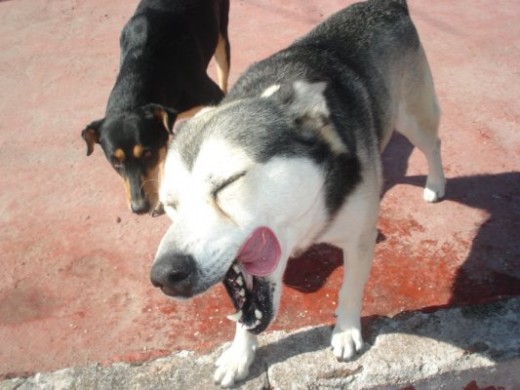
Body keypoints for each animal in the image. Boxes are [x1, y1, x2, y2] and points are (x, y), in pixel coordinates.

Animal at [80, 0, 230, 215]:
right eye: (115, 162)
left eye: (147, 153)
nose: (139, 208)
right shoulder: (161, 132)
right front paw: (160, 202)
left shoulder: (211, 95)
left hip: (221, 36)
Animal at [148, 0, 444, 386]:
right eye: (170, 204)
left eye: (228, 182)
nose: (165, 275)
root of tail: (386, 5)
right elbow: (246, 309)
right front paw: (239, 353)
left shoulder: (360, 237)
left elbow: (350, 288)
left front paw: (346, 331)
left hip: (413, 117)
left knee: (433, 143)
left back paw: (436, 185)